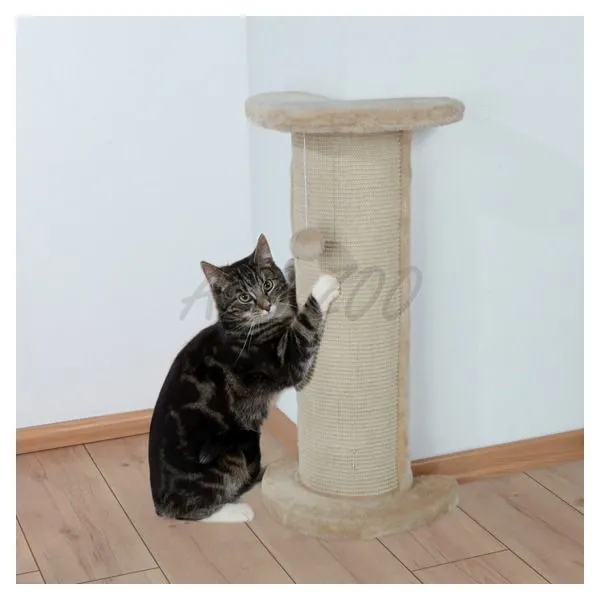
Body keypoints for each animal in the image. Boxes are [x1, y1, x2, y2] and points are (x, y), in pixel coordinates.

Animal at [148, 234, 339, 523]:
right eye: (244, 296)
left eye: (268, 284)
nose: (266, 305)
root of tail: (158, 502)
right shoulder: (286, 361)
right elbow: (304, 325)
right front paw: (323, 286)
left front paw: (292, 268)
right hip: (229, 452)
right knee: (189, 511)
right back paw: (237, 510)